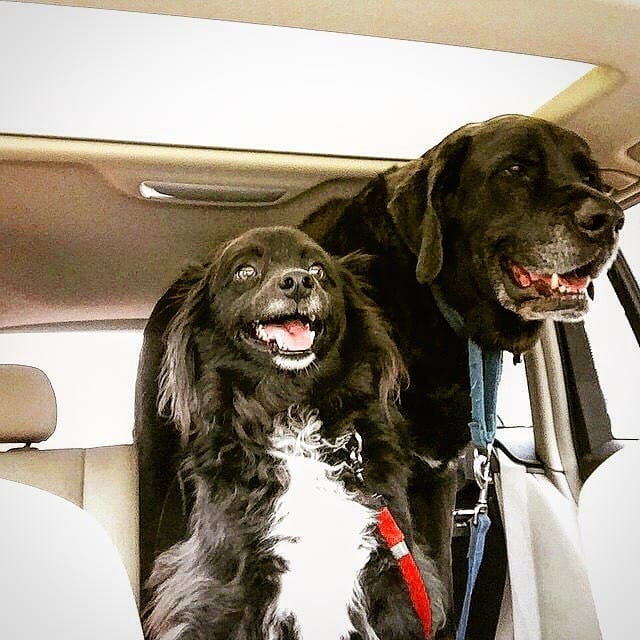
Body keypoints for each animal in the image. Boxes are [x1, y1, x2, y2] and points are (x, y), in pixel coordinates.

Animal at [144, 228, 444, 636]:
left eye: (317, 269)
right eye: (245, 271)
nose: (299, 281)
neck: (293, 413)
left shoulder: (393, 580)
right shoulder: (223, 592)